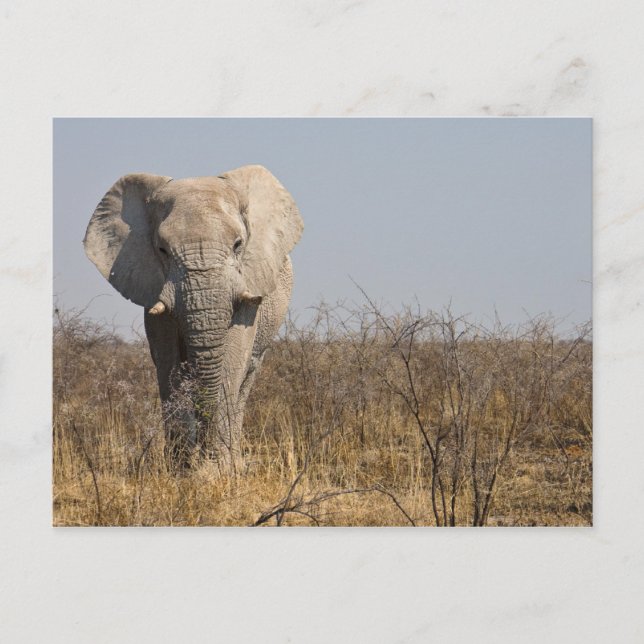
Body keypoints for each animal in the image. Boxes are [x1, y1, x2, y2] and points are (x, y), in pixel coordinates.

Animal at [84, 165, 303, 473]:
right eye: (162, 250)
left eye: (238, 245)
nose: (204, 456)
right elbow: (168, 361)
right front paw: (182, 470)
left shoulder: (248, 284)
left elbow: (232, 358)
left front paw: (218, 471)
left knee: (246, 376)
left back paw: (236, 462)